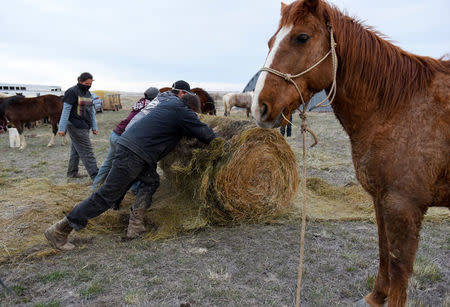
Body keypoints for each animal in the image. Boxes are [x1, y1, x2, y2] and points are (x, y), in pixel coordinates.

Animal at [251, 1, 448, 306]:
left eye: (302, 37)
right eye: (271, 41)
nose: (259, 107)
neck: (398, 107)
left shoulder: (404, 206)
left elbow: (399, 267)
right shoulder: (381, 200)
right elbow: (383, 249)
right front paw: (376, 296)